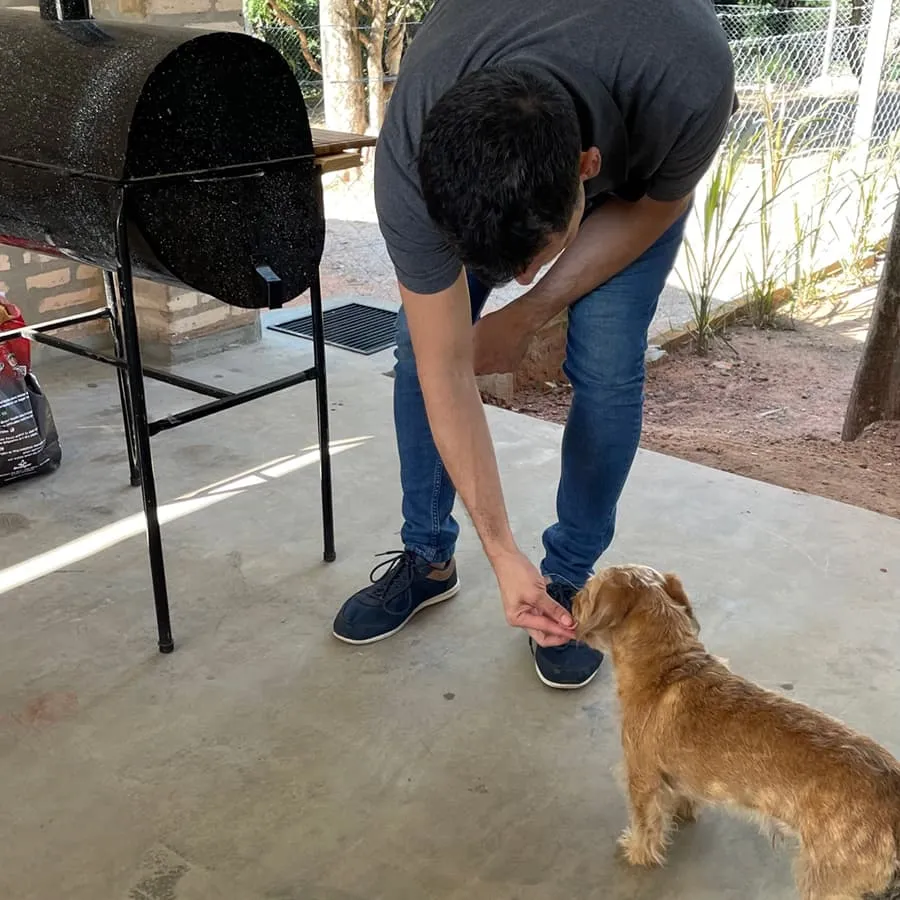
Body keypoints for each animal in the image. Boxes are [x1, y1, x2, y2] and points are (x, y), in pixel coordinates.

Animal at [572, 568, 900, 896]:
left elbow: (646, 824)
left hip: (827, 881)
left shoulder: (642, 779)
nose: (571, 599)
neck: (669, 668)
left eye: (587, 590)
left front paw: (637, 851)